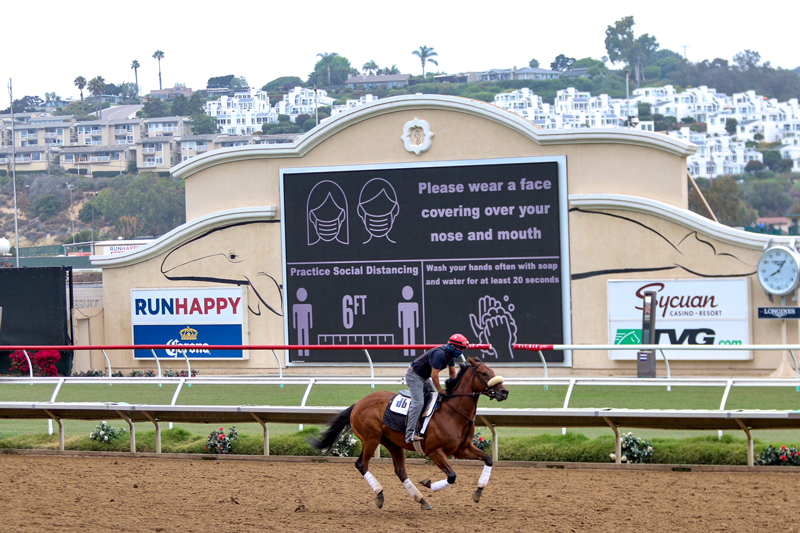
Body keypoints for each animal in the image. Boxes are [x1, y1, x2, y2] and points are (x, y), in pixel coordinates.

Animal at [310, 356, 510, 510]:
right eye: (484, 373)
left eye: (492, 371)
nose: (504, 392)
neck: (453, 412)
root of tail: (358, 404)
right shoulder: (434, 451)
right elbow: (452, 476)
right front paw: (428, 483)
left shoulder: (463, 449)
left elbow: (488, 459)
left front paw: (478, 491)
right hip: (371, 439)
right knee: (361, 464)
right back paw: (380, 495)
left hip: (392, 443)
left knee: (400, 472)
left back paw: (421, 500)